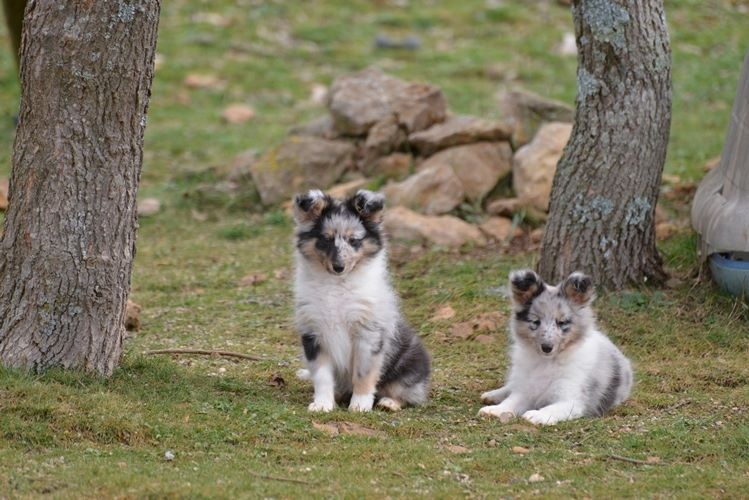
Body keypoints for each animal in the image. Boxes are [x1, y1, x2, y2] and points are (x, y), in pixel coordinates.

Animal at [294, 189, 432, 412]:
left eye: (353, 240)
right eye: (326, 239)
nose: (338, 267)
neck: (337, 285)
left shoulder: (368, 333)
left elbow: (363, 373)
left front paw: (359, 405)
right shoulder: (313, 332)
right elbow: (322, 376)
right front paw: (322, 404)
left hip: (409, 365)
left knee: (408, 392)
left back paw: (389, 402)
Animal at [480, 270, 632, 426]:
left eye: (562, 322)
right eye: (536, 321)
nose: (547, 347)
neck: (548, 362)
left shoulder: (571, 400)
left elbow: (552, 408)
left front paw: (536, 415)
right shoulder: (526, 390)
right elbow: (511, 401)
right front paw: (495, 410)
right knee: (511, 385)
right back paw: (492, 395)